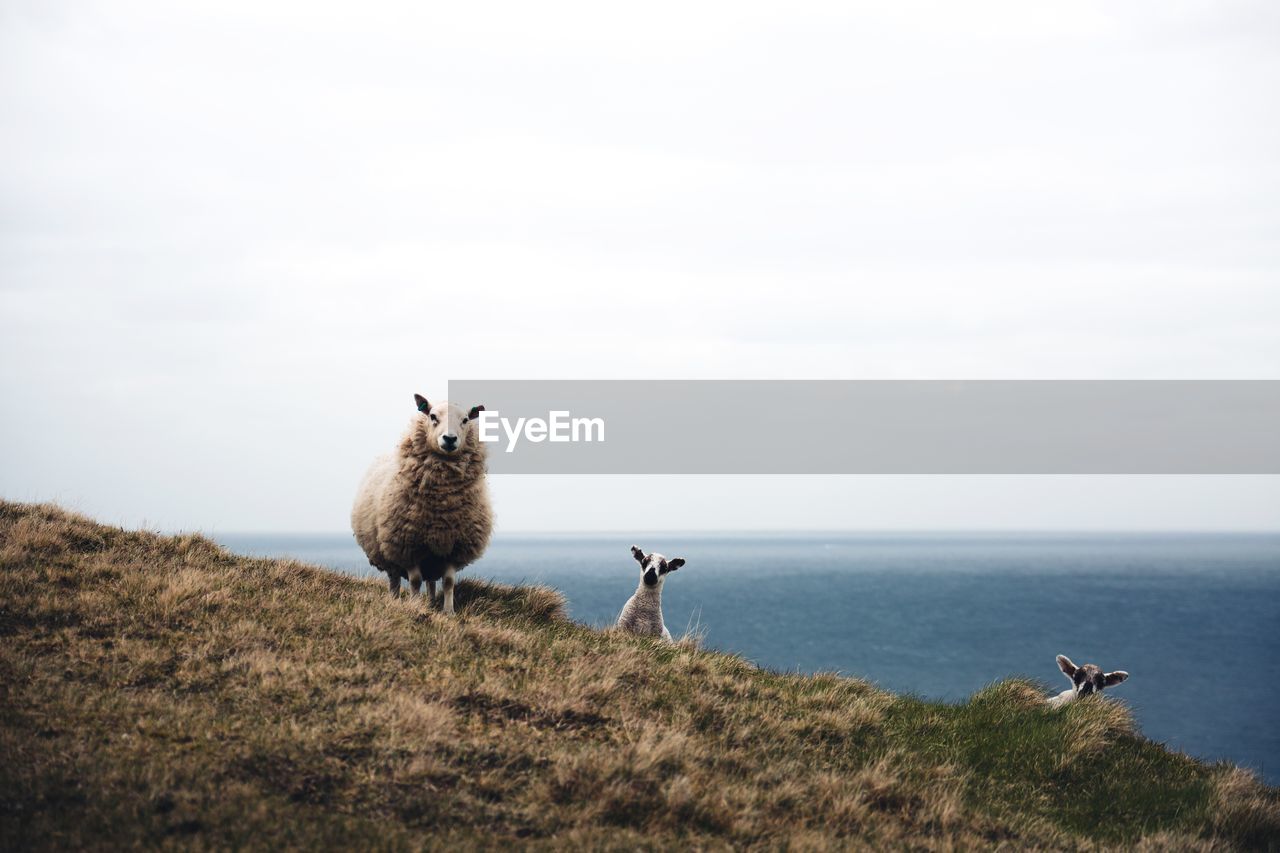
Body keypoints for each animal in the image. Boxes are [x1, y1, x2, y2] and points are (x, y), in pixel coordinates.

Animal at [350, 391, 494, 612]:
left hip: (432, 558)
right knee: (395, 579)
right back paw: (396, 600)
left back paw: (432, 602)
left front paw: (448, 611)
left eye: (465, 420)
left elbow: (449, 581)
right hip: (390, 551)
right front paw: (415, 605)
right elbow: (415, 581)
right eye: (433, 416)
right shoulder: (407, 545)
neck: (441, 503)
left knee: (431, 582)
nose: (450, 439)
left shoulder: (453, 545)